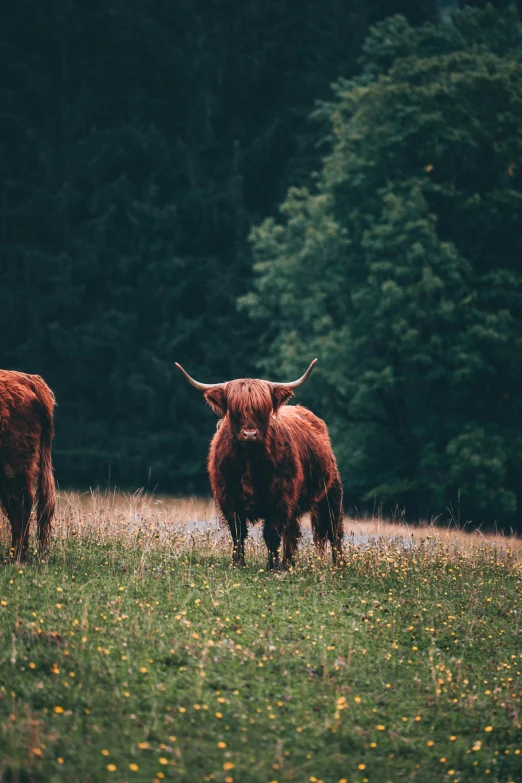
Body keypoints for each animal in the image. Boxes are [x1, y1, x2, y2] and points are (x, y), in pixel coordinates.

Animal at [175, 362, 342, 568]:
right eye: (235, 410)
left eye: (263, 409)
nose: (249, 434)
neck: (249, 459)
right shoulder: (229, 499)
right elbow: (238, 533)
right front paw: (238, 564)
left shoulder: (280, 500)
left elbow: (272, 534)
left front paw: (272, 567)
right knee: (293, 533)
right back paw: (289, 564)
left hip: (330, 493)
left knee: (334, 531)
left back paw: (338, 565)